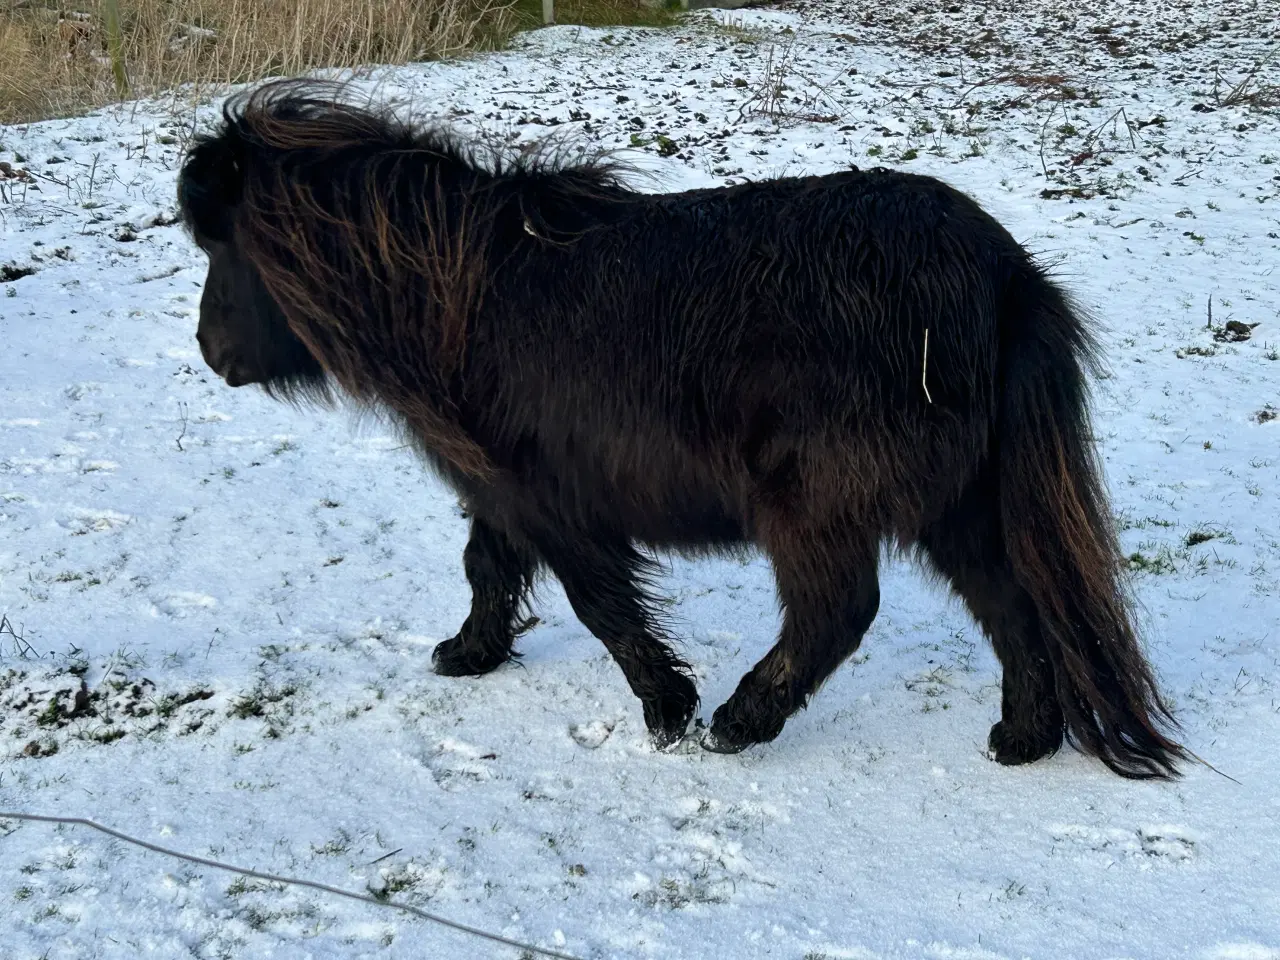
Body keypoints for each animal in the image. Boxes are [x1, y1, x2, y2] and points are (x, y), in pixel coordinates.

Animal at [175, 80, 1182, 783]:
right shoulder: (504, 488)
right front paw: (469, 655)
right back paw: (1023, 738)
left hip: (819, 505)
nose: (209, 352)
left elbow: (600, 604)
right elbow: (488, 568)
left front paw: (668, 709)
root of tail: (1004, 272)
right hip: (959, 506)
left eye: (226, 246)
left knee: (837, 612)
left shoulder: (555, 500)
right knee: (1012, 605)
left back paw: (740, 721)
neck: (460, 297)